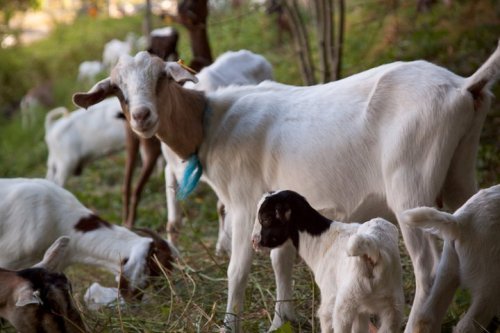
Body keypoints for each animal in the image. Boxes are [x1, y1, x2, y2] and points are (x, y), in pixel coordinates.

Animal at [252, 189, 404, 332]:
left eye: (266, 218)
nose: (254, 241)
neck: (321, 239)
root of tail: (372, 247)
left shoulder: (329, 297)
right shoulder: (361, 311)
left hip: (346, 302)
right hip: (392, 305)